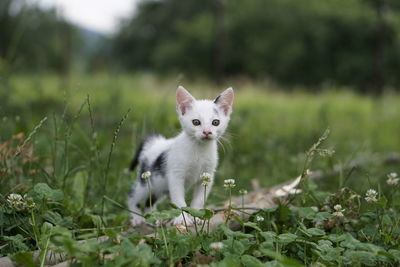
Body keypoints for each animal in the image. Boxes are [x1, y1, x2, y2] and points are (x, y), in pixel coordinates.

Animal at [128, 86, 234, 226]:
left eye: (215, 122)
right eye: (196, 122)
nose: (207, 132)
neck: (199, 151)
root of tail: (154, 142)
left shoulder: (207, 175)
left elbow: (199, 199)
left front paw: (197, 215)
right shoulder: (175, 176)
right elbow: (178, 200)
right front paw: (181, 218)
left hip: (159, 188)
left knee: (149, 202)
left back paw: (154, 217)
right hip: (146, 182)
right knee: (132, 196)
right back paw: (136, 217)